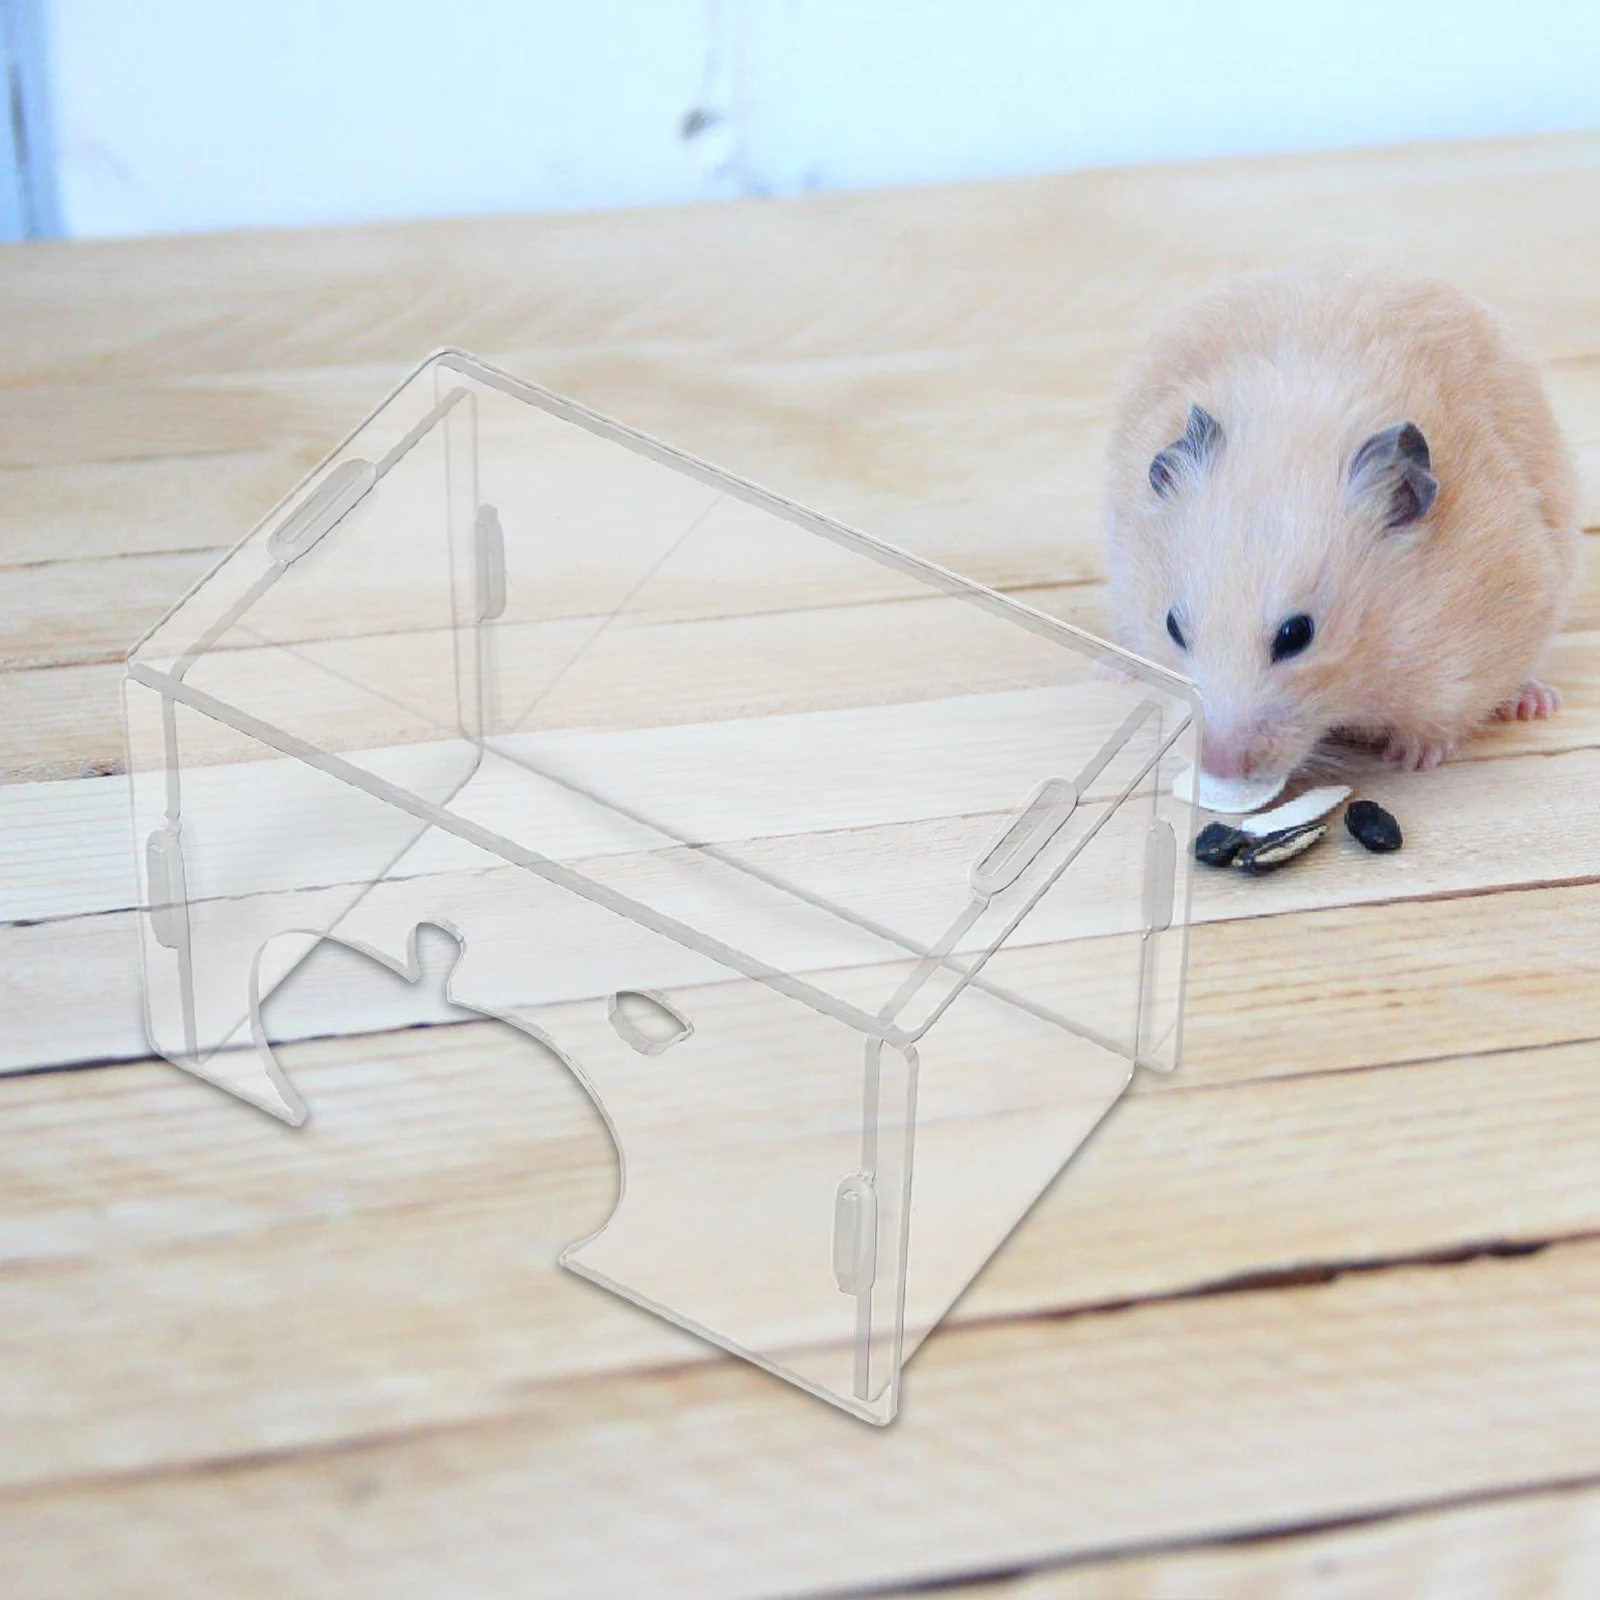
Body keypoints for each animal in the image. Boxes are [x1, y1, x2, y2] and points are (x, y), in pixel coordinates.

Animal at [1101, 263, 1581, 781]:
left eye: (1296, 636)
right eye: (1172, 626)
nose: (1219, 765)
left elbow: (1442, 717)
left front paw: (1411, 757)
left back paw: (1534, 702)